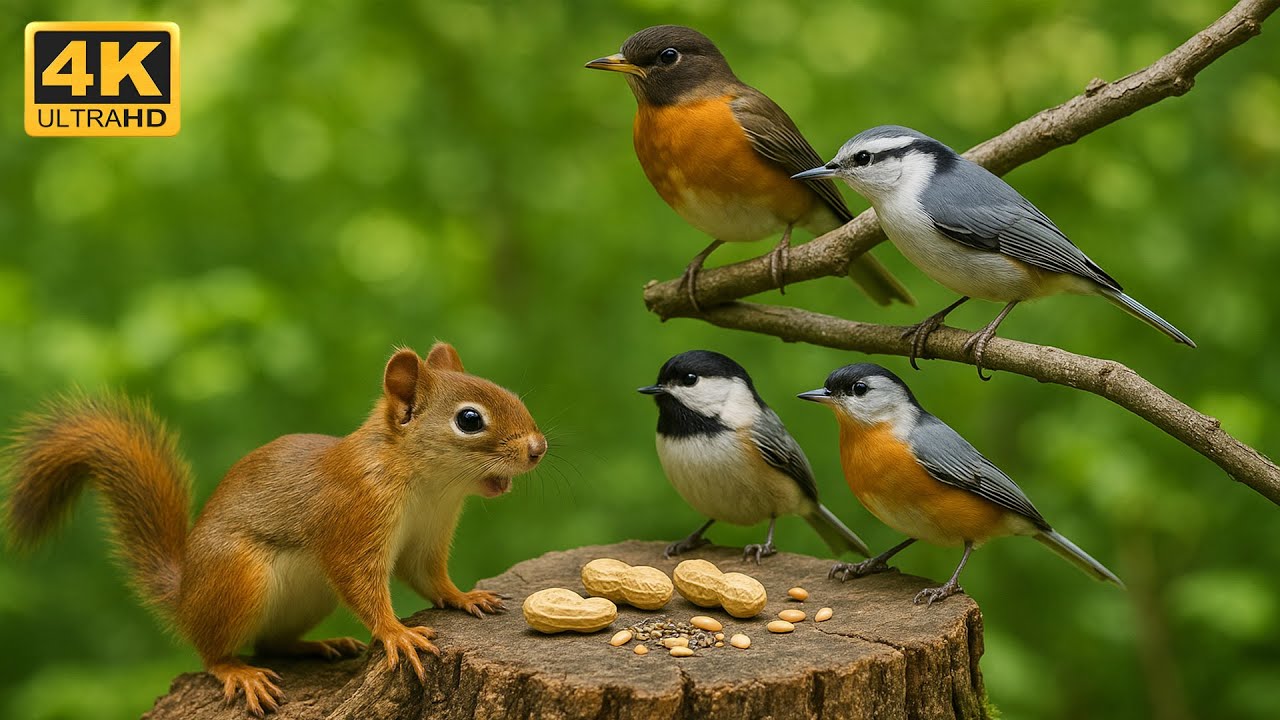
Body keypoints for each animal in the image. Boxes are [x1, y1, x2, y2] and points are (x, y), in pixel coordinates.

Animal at [2, 342, 546, 716]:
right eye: (470, 419)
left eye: (511, 394)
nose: (538, 449)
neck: (428, 483)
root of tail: (185, 597)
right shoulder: (353, 517)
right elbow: (361, 580)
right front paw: (396, 632)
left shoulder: (429, 533)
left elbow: (428, 577)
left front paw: (464, 596)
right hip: (239, 579)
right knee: (214, 652)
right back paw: (239, 672)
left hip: (307, 597)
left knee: (271, 643)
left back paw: (320, 645)